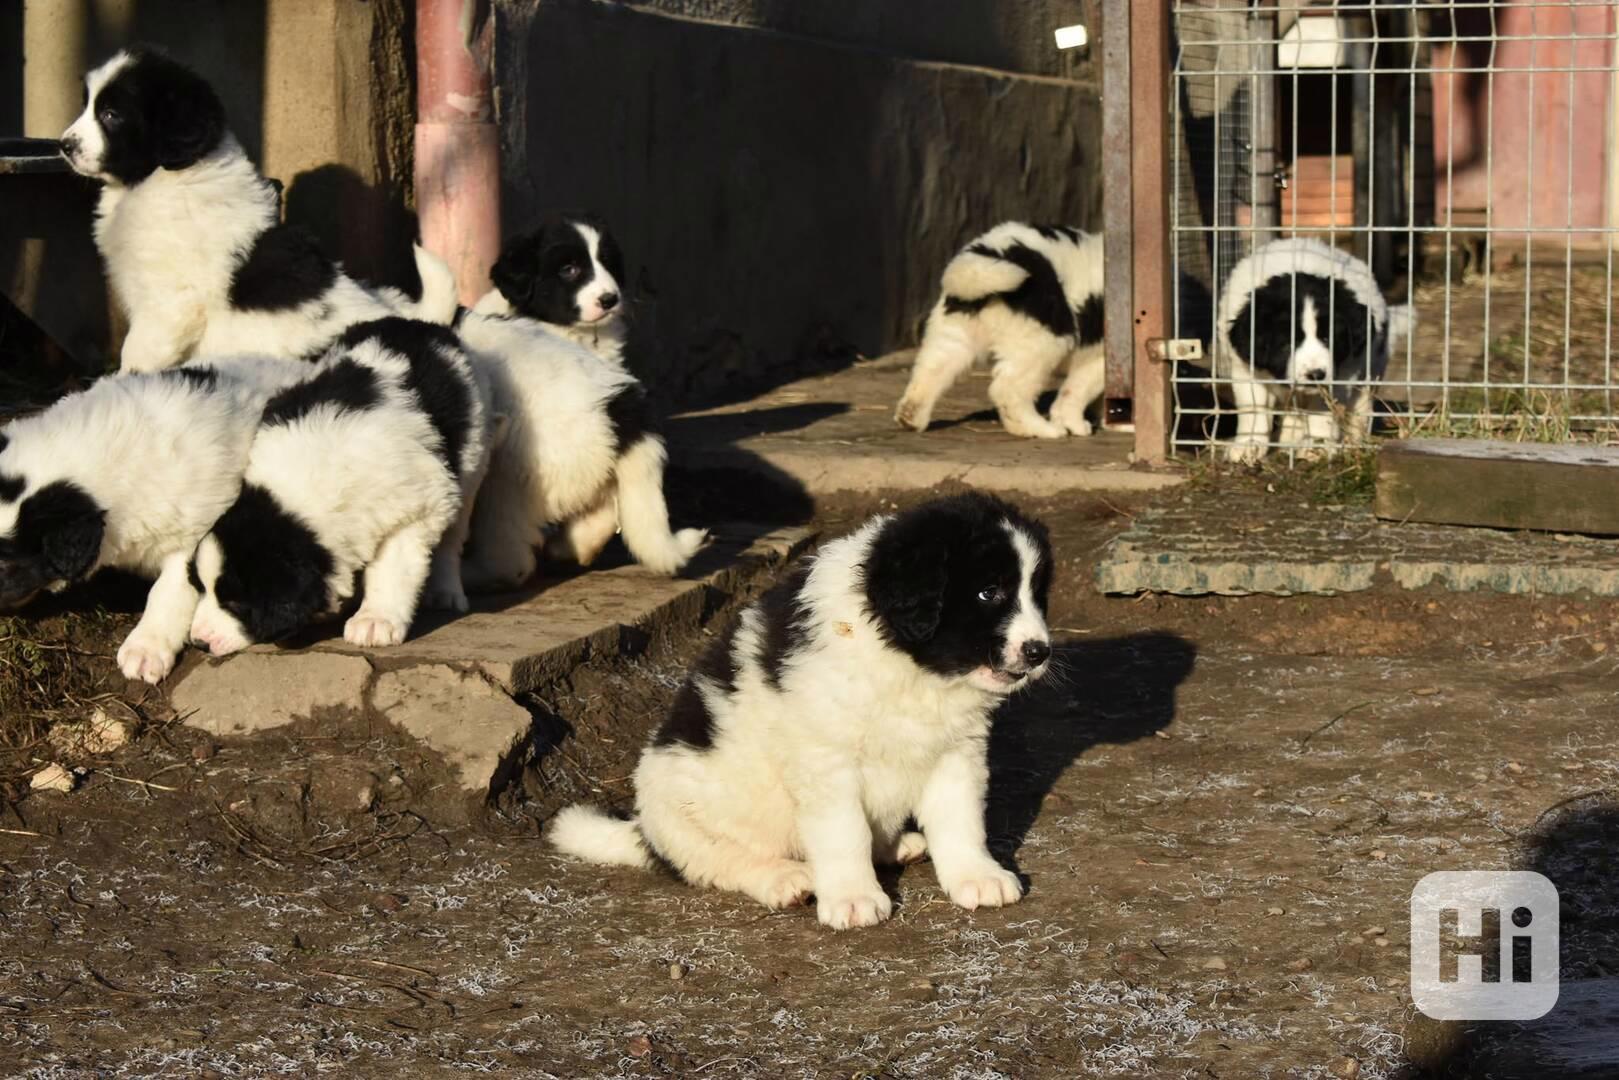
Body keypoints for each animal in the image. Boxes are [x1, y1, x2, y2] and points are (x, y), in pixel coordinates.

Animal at [61, 46, 456, 374]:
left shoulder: (171, 299)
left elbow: (138, 350)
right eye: (86, 105)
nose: (64, 145)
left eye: (111, 115)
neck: (153, 179)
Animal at [186, 317, 488, 654]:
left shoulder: (415, 505)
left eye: (236, 603)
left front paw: (375, 621)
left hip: (473, 458)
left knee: (454, 534)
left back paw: (446, 592)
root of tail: (417, 323)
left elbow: (392, 567)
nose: (199, 643)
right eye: (200, 588)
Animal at [553, 495, 1062, 932]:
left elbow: (961, 819)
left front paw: (977, 876)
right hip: (683, 811)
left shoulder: (956, 750)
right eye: (988, 593)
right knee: (724, 862)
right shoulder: (825, 760)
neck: (907, 664)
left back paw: (899, 845)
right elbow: (844, 831)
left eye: (1037, 594)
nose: (1039, 652)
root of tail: (644, 833)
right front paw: (854, 898)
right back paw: (786, 878)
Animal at [893, 221, 1107, 440]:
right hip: (1044, 341)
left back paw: (911, 417)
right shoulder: (1098, 359)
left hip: (955, 335)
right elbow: (1078, 390)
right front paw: (1075, 424)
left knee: (929, 371)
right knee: (1008, 390)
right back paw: (1039, 428)